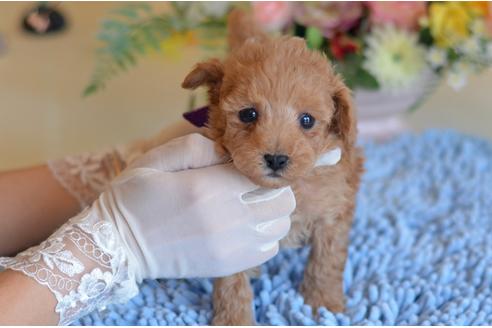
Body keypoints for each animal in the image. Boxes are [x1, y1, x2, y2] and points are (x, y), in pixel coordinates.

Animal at [183, 10, 364, 326]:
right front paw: (234, 319)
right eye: (248, 114)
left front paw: (323, 304)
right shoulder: (233, 229)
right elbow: (232, 281)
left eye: (307, 120)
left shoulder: (333, 211)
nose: (277, 159)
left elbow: (326, 261)